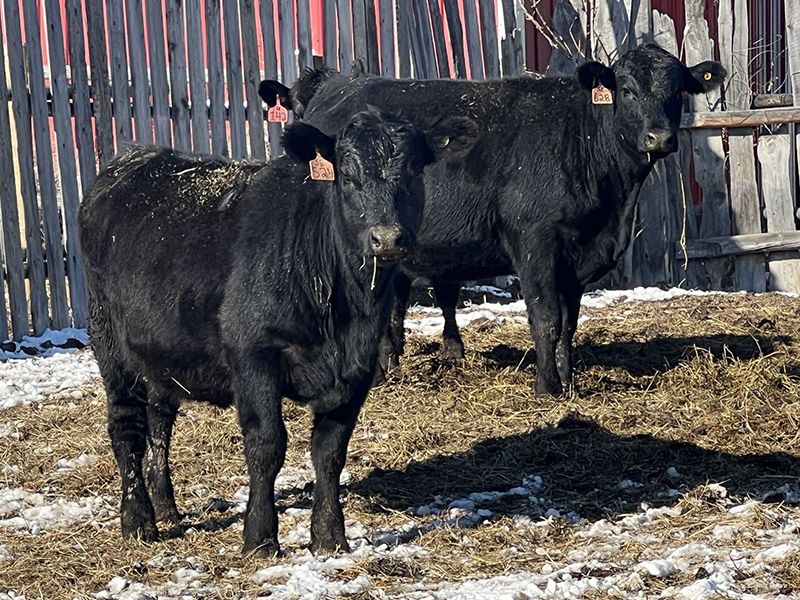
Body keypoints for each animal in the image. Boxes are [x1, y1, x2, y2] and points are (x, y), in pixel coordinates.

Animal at [79, 109, 477, 556]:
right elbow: (267, 445)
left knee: (159, 420)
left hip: (161, 355)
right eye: (348, 176)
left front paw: (329, 537)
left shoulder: (357, 368)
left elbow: (330, 451)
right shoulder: (253, 356)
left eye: (413, 172)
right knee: (126, 427)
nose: (387, 237)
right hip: (109, 343)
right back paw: (138, 520)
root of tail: (132, 159)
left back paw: (166, 506)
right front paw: (260, 536)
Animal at [259, 44, 726, 396]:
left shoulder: (578, 252)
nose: (660, 138)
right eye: (627, 89)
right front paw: (546, 387)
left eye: (678, 91)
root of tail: (337, 88)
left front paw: (569, 380)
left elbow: (569, 322)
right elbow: (545, 316)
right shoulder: (535, 240)